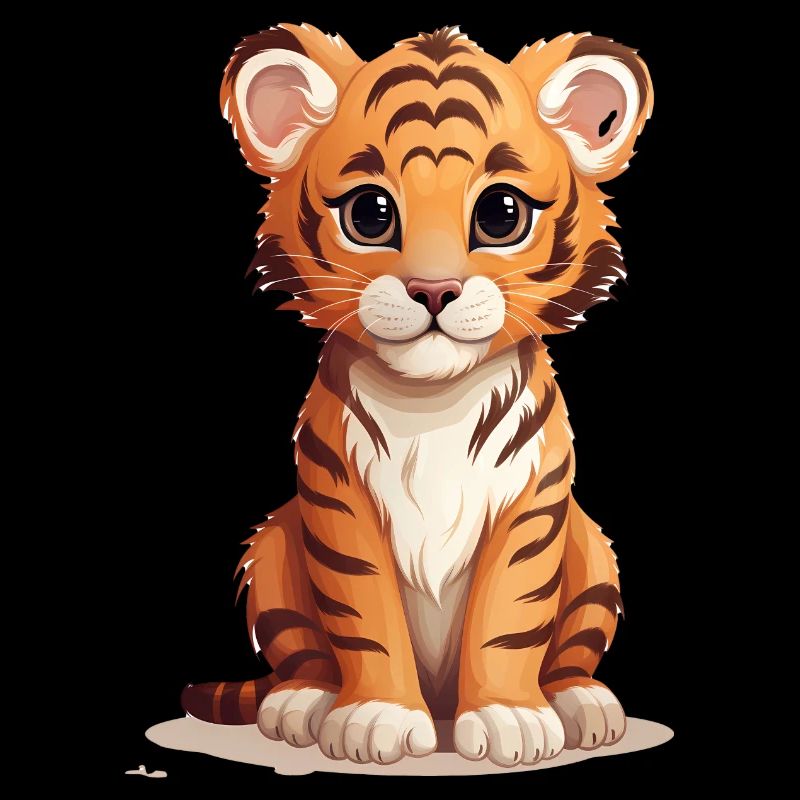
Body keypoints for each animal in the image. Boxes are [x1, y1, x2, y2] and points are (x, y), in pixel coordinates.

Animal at [181, 24, 653, 768]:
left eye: (501, 214)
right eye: (371, 214)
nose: (433, 290)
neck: (433, 400)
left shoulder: (533, 505)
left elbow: (511, 613)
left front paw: (510, 717)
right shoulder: (335, 502)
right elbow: (364, 617)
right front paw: (376, 716)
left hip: (592, 548)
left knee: (572, 654)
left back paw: (584, 703)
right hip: (276, 542)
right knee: (305, 656)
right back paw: (301, 703)